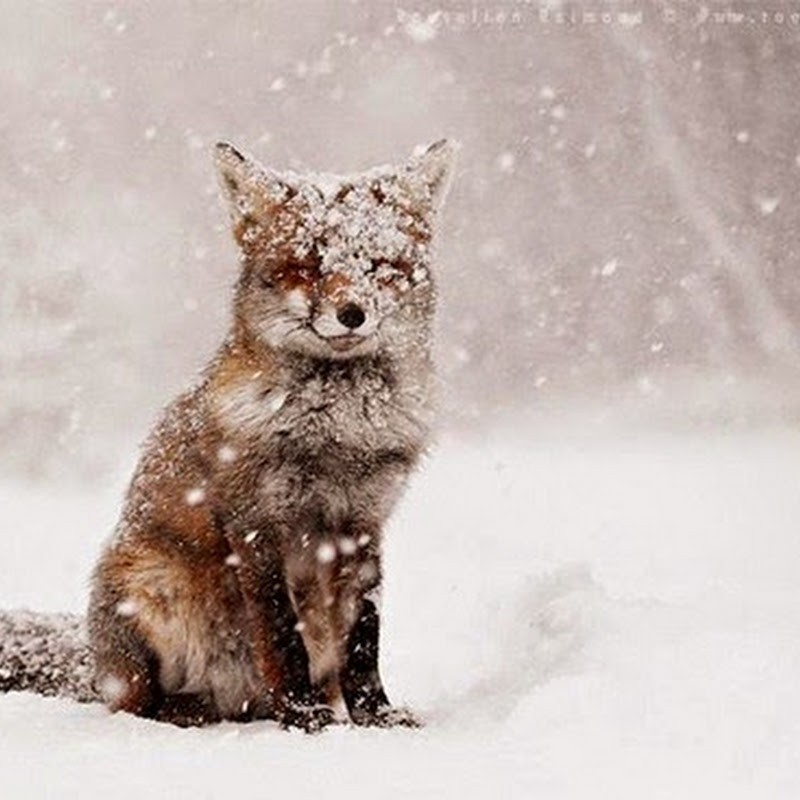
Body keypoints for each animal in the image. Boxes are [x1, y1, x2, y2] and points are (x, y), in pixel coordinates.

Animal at [0, 141, 460, 728]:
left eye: (379, 266)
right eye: (306, 267)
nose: (352, 313)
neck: (335, 434)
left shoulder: (363, 523)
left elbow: (364, 637)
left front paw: (375, 716)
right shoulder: (257, 523)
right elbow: (281, 634)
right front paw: (304, 717)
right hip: (150, 589)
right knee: (137, 704)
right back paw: (192, 712)